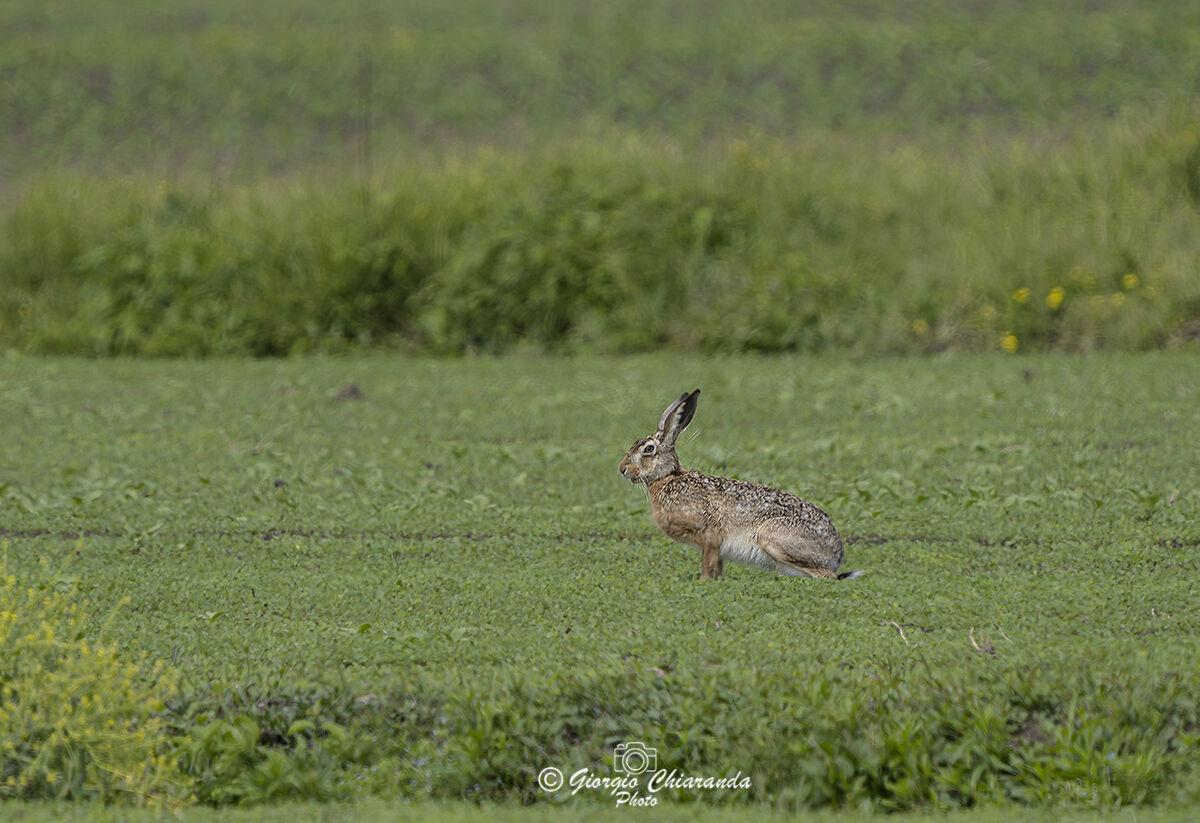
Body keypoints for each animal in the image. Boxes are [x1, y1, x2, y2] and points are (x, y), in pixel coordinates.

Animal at [619, 389, 860, 581]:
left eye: (648, 449)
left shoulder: (709, 537)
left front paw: (702, 582)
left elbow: (707, 565)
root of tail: (835, 553)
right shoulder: (717, 550)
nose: (622, 469)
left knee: (825, 576)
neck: (668, 477)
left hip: (772, 535)